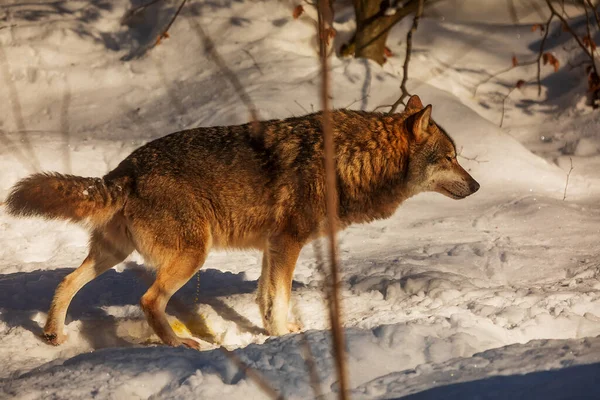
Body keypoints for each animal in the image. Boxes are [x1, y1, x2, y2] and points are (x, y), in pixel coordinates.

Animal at [5, 95, 478, 348]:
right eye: (450, 158)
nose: (476, 186)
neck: (348, 161)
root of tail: (123, 171)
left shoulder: (273, 245)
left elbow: (266, 297)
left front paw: (275, 332)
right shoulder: (288, 242)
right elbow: (279, 298)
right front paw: (283, 336)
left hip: (115, 254)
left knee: (66, 282)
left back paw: (54, 335)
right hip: (191, 256)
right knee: (149, 300)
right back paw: (180, 346)